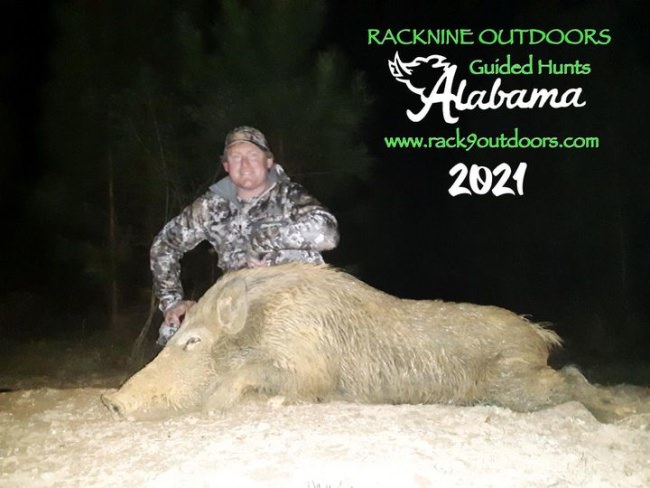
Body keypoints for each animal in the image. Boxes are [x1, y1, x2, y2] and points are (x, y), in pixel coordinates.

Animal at [102, 263, 642, 422]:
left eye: (192, 341)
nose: (110, 400)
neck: (259, 327)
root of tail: (538, 332)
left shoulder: (309, 364)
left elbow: (274, 382)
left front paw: (234, 402)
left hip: (515, 382)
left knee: (571, 377)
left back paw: (618, 414)